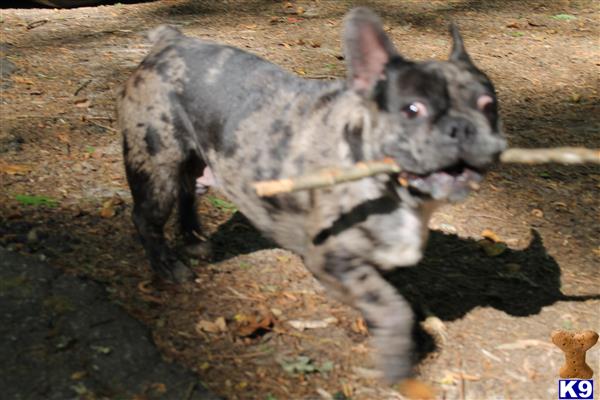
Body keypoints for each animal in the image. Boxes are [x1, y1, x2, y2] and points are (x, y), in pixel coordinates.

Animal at [117, 8, 506, 384]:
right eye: (413, 109)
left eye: (489, 105)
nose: (462, 126)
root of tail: (170, 41)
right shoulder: (330, 257)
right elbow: (391, 305)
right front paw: (397, 357)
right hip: (157, 163)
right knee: (147, 218)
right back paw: (168, 266)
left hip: (194, 160)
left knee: (188, 192)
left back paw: (193, 240)